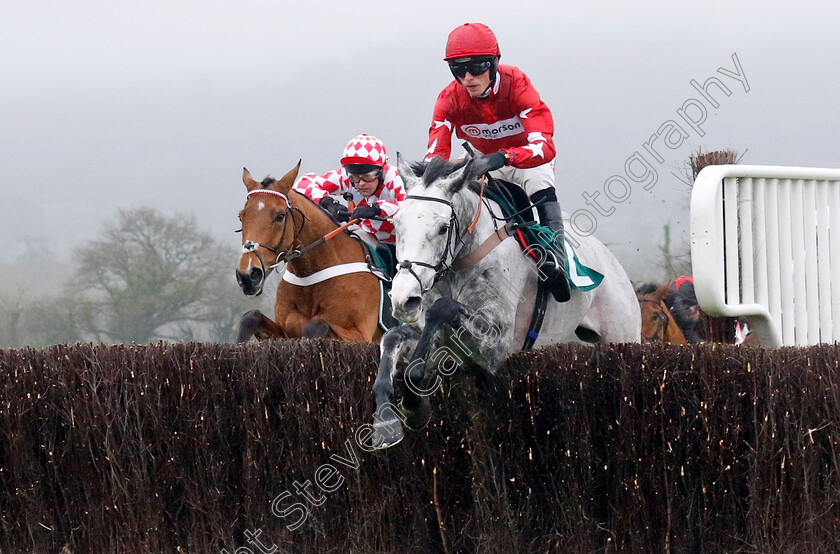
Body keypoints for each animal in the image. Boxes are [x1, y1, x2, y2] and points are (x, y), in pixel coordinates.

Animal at [235, 162, 382, 338]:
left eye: (280, 216)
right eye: (241, 216)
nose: (248, 275)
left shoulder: (360, 334)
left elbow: (315, 325)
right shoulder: (285, 331)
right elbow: (250, 317)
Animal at [370, 153, 640, 446]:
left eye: (443, 228)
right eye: (397, 224)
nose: (403, 298)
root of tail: (610, 259)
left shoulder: (496, 345)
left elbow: (442, 309)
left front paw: (414, 398)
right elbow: (392, 339)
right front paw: (385, 421)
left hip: (623, 335)